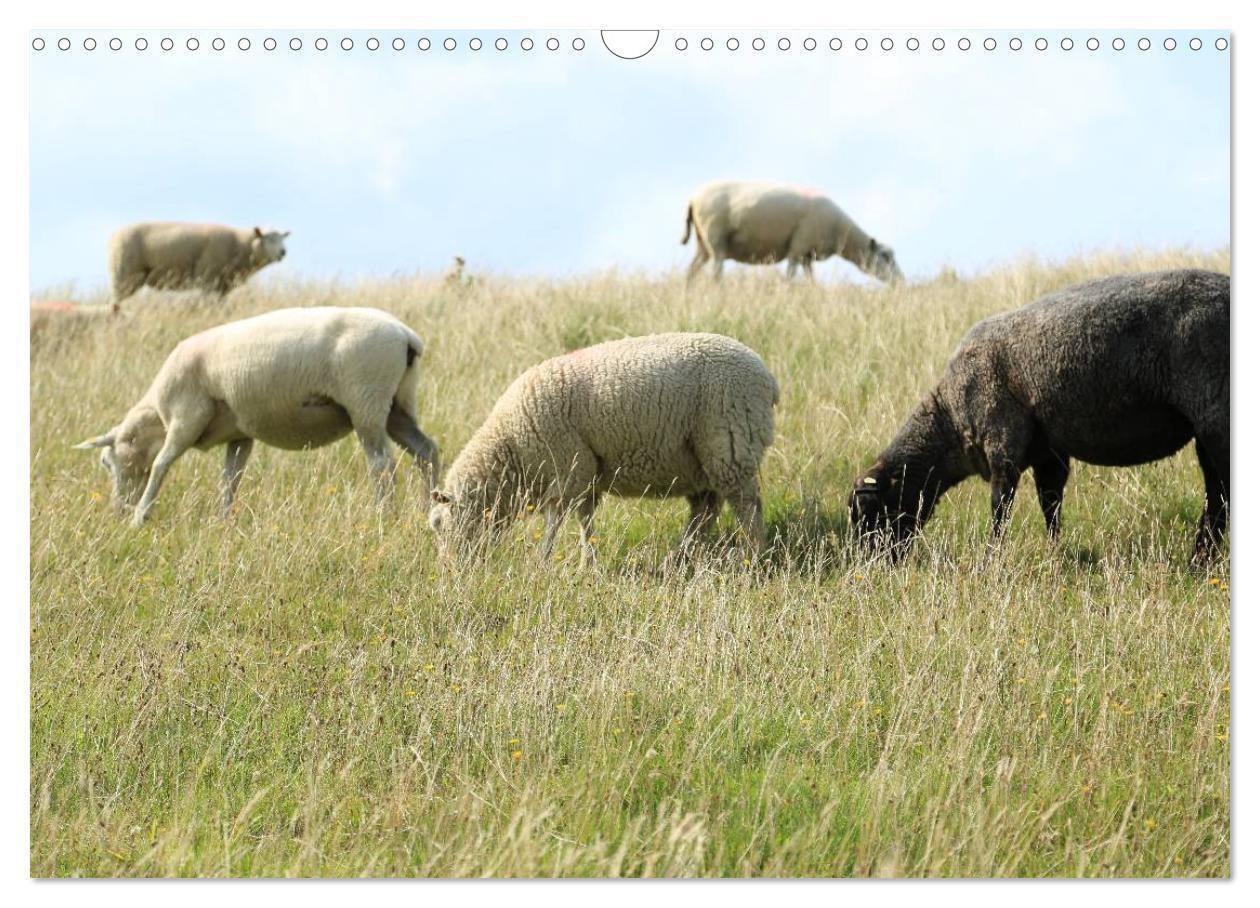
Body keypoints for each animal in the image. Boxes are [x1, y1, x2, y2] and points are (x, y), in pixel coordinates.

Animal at [74, 308, 438, 528]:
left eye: (107, 462)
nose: (117, 510)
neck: (157, 419)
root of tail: (406, 336)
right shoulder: (239, 433)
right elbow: (230, 478)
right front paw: (224, 520)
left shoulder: (185, 420)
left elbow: (162, 464)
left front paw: (140, 516)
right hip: (397, 406)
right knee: (426, 451)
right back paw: (430, 507)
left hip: (366, 402)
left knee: (382, 465)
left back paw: (383, 515)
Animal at [425, 329, 776, 564]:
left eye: (439, 525)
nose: (449, 569)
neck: (510, 445)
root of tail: (768, 378)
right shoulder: (585, 475)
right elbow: (585, 522)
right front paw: (588, 563)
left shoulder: (568, 468)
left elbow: (554, 523)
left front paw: (544, 562)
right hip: (699, 459)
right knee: (706, 508)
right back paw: (682, 557)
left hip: (730, 442)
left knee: (747, 505)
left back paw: (751, 557)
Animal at [685, 180, 902, 283]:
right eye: (886, 257)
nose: (900, 281)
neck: (840, 231)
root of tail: (693, 198)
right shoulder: (798, 247)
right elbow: (790, 277)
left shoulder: (807, 255)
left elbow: (811, 280)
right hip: (716, 239)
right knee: (716, 272)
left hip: (702, 243)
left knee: (692, 269)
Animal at [846, 266, 1229, 559]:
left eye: (871, 513)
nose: (873, 567)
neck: (950, 417)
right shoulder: (1048, 452)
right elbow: (1051, 505)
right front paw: (1057, 554)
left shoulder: (1003, 442)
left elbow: (1000, 509)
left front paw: (992, 560)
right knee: (1218, 497)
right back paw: (1202, 560)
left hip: (1215, 414)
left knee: (1221, 494)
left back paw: (1200, 561)